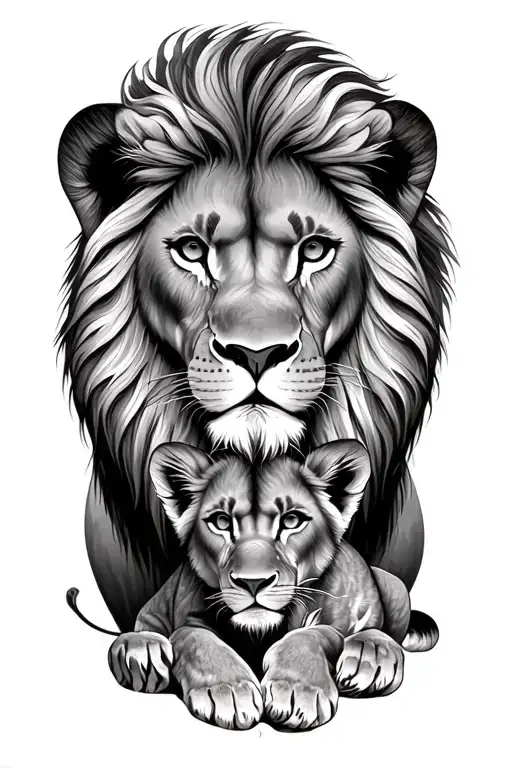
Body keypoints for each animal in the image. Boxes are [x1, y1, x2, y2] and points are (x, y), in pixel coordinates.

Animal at [96, 439, 436, 731]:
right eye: (221, 522)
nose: (253, 582)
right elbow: (195, 638)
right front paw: (229, 691)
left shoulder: (329, 623)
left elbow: (311, 635)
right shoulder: (188, 619)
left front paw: (297, 691)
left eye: (291, 521)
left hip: (393, 585)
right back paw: (141, 651)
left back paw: (370, 656)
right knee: (140, 631)